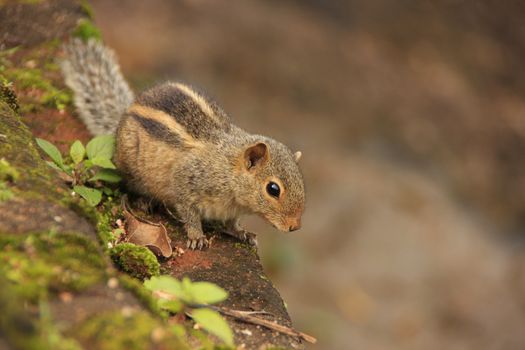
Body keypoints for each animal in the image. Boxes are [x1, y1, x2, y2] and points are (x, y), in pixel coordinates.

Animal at [61, 39, 304, 250]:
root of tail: (124, 115)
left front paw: (242, 233)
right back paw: (143, 201)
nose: (295, 227)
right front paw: (197, 236)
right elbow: (189, 212)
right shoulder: (186, 183)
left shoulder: (232, 209)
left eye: (302, 182)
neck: (227, 167)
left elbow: (232, 223)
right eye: (273, 189)